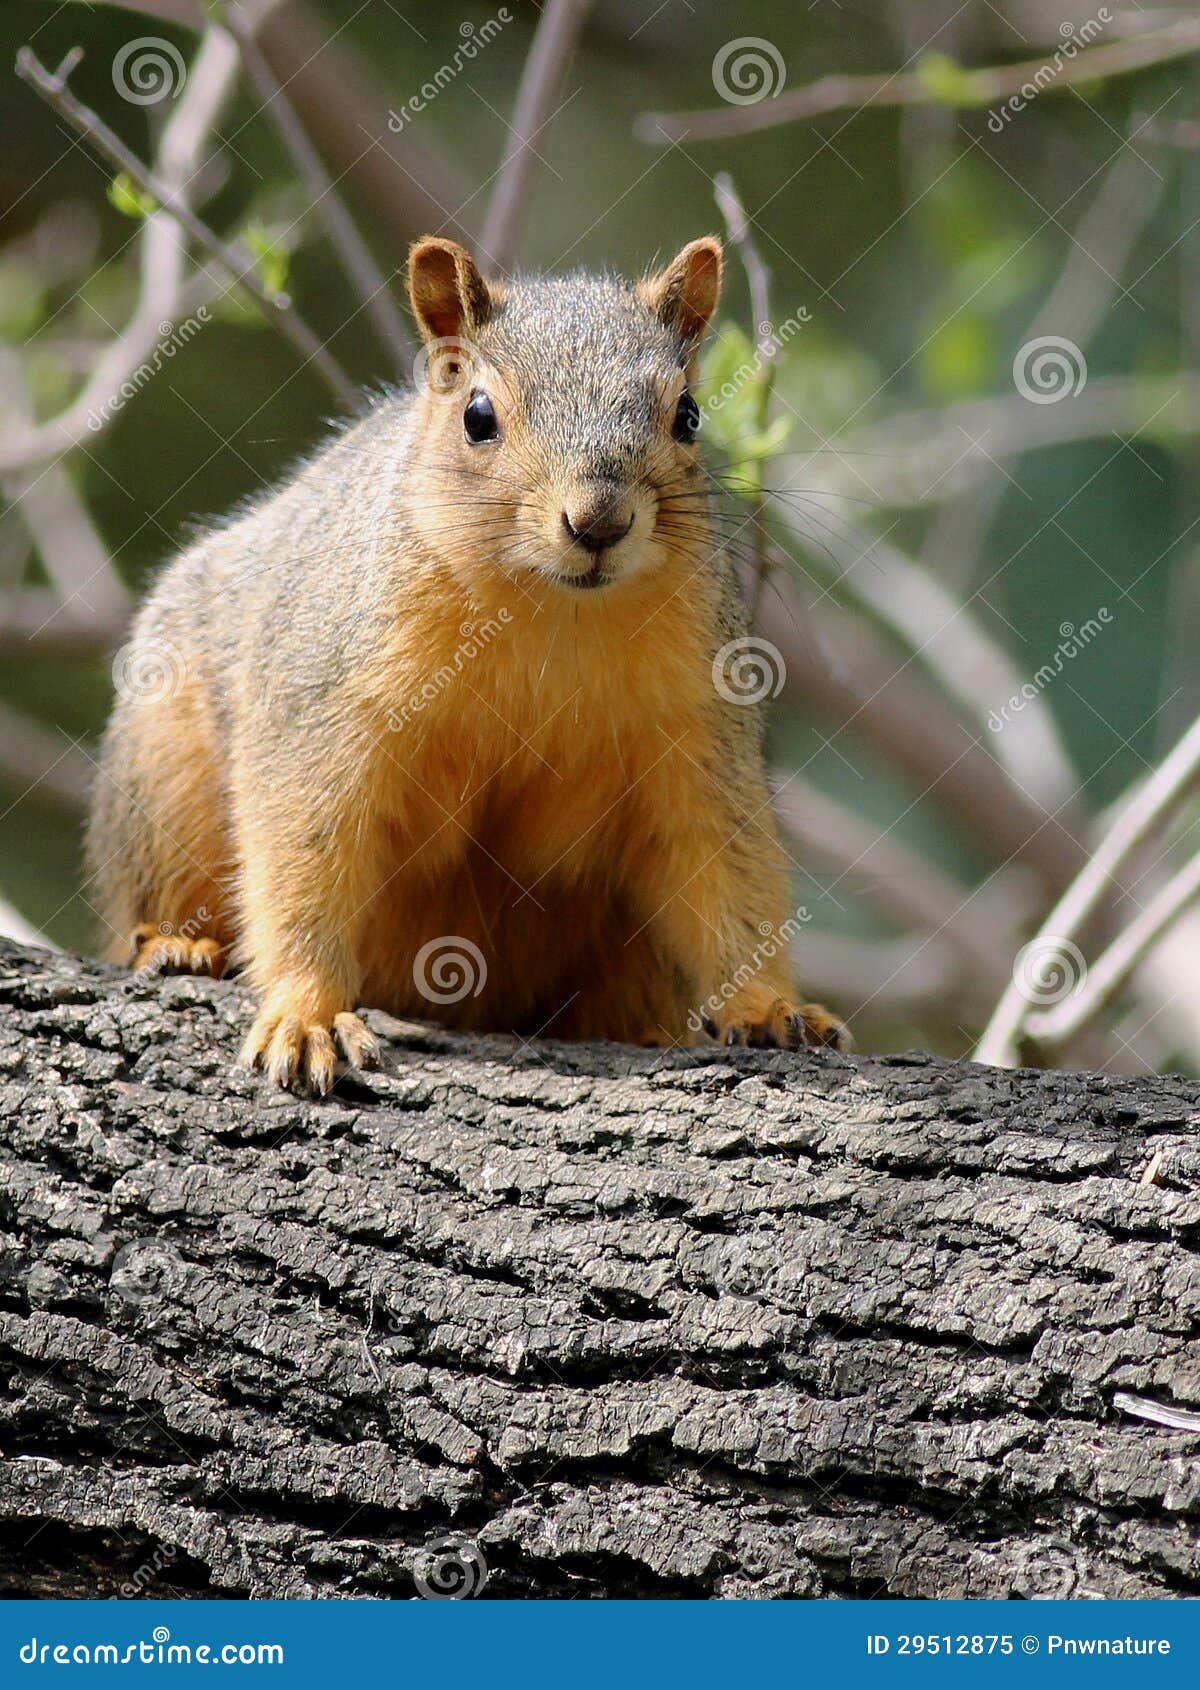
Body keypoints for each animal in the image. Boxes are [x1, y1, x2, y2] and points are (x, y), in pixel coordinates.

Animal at [87, 235, 849, 1093]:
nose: (599, 522)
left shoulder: (698, 729)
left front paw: (769, 1005)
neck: (551, 615)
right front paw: (306, 1014)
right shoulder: (325, 708)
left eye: (687, 415)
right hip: (164, 770)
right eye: (477, 417)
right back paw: (177, 944)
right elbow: (304, 854)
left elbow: (724, 865)